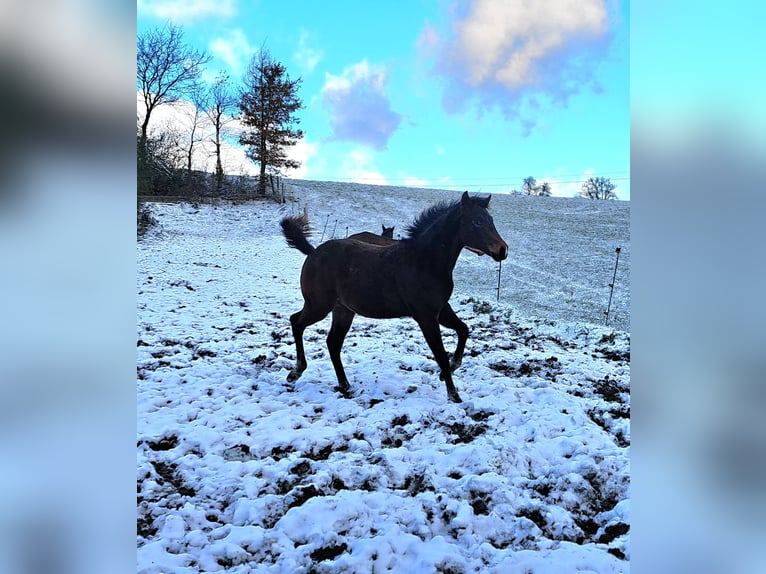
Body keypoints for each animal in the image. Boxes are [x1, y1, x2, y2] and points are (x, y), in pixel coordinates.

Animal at [282, 191, 510, 402]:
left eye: (491, 221)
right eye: (477, 221)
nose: (502, 250)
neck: (425, 262)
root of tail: (313, 252)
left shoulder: (442, 309)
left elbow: (463, 330)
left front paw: (450, 370)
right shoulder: (425, 316)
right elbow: (440, 354)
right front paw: (454, 396)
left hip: (344, 310)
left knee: (333, 342)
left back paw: (345, 386)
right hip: (319, 305)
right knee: (297, 322)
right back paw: (296, 372)